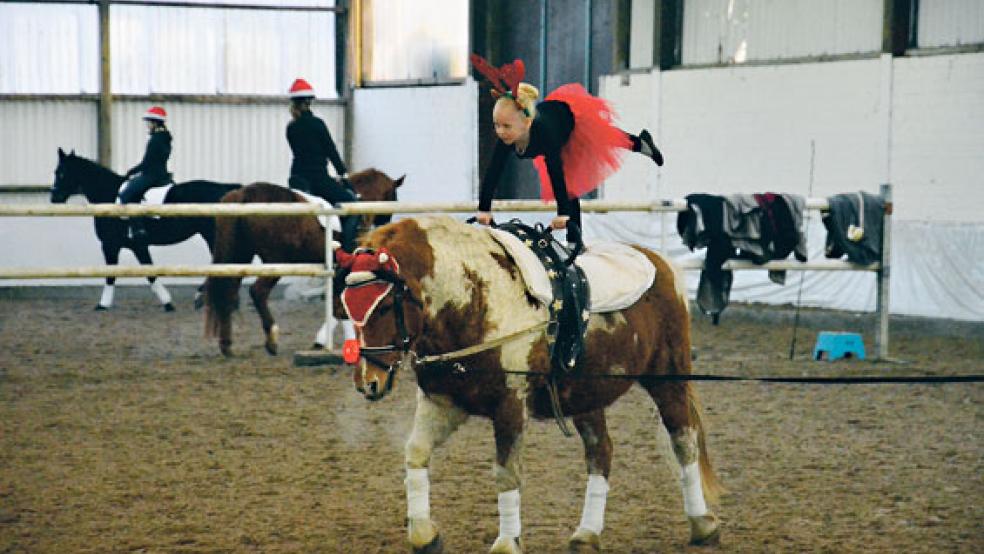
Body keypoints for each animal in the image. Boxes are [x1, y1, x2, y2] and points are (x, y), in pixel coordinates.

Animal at [51, 147, 240, 310]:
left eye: (61, 173)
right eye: (56, 172)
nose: (54, 198)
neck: (109, 196)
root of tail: (225, 189)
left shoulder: (112, 245)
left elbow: (115, 275)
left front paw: (102, 304)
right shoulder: (135, 246)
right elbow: (148, 272)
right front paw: (167, 302)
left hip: (211, 235)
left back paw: (203, 296)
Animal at [204, 168, 404, 356]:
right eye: (393, 197)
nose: (385, 224)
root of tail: (242, 194)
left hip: (239, 254)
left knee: (228, 292)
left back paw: (227, 345)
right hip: (277, 261)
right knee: (257, 291)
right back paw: (271, 339)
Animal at [346, 217, 724, 552]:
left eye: (383, 306)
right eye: (348, 306)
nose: (368, 383)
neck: (476, 301)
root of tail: (660, 262)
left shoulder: (510, 405)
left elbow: (507, 474)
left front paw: (507, 543)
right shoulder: (442, 401)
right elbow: (416, 453)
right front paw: (425, 535)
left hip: (668, 380)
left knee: (684, 442)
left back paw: (702, 524)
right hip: (587, 396)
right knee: (601, 452)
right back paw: (587, 534)